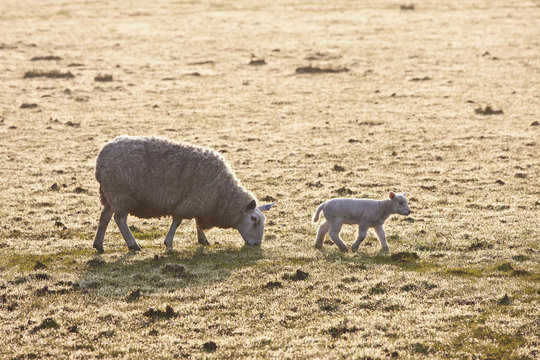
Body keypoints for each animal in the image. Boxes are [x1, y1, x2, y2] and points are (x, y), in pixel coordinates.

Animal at [92, 135, 274, 253]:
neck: (223, 192)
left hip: (111, 194)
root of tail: (101, 157)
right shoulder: (193, 200)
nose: (257, 244)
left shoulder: (201, 202)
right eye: (253, 219)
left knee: (105, 216)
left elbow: (197, 222)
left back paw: (99, 245)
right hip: (121, 193)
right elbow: (178, 221)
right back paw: (133, 245)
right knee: (119, 219)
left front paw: (203, 240)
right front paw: (169, 242)